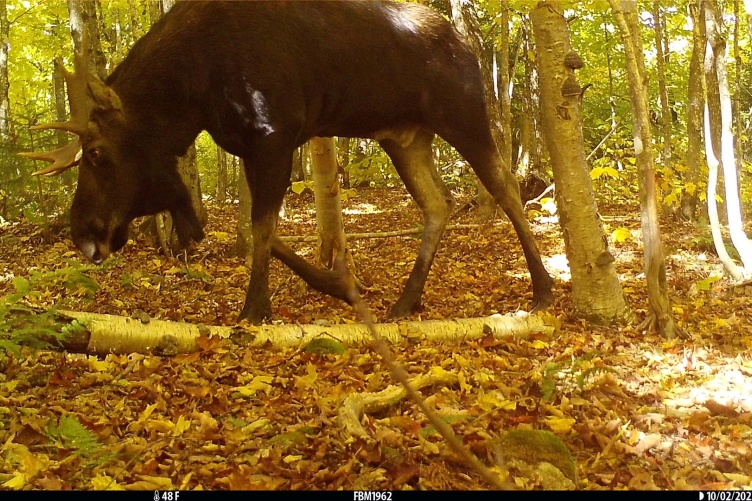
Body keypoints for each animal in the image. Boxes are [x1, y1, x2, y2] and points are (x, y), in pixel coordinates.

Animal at [25, 1, 552, 322]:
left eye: (97, 153)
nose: (82, 232)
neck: (193, 93)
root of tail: (468, 45)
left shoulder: (273, 135)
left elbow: (260, 228)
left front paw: (255, 308)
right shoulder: (249, 148)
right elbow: (242, 228)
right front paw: (340, 284)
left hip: (462, 113)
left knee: (505, 184)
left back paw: (543, 289)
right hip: (403, 136)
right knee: (438, 202)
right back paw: (407, 299)